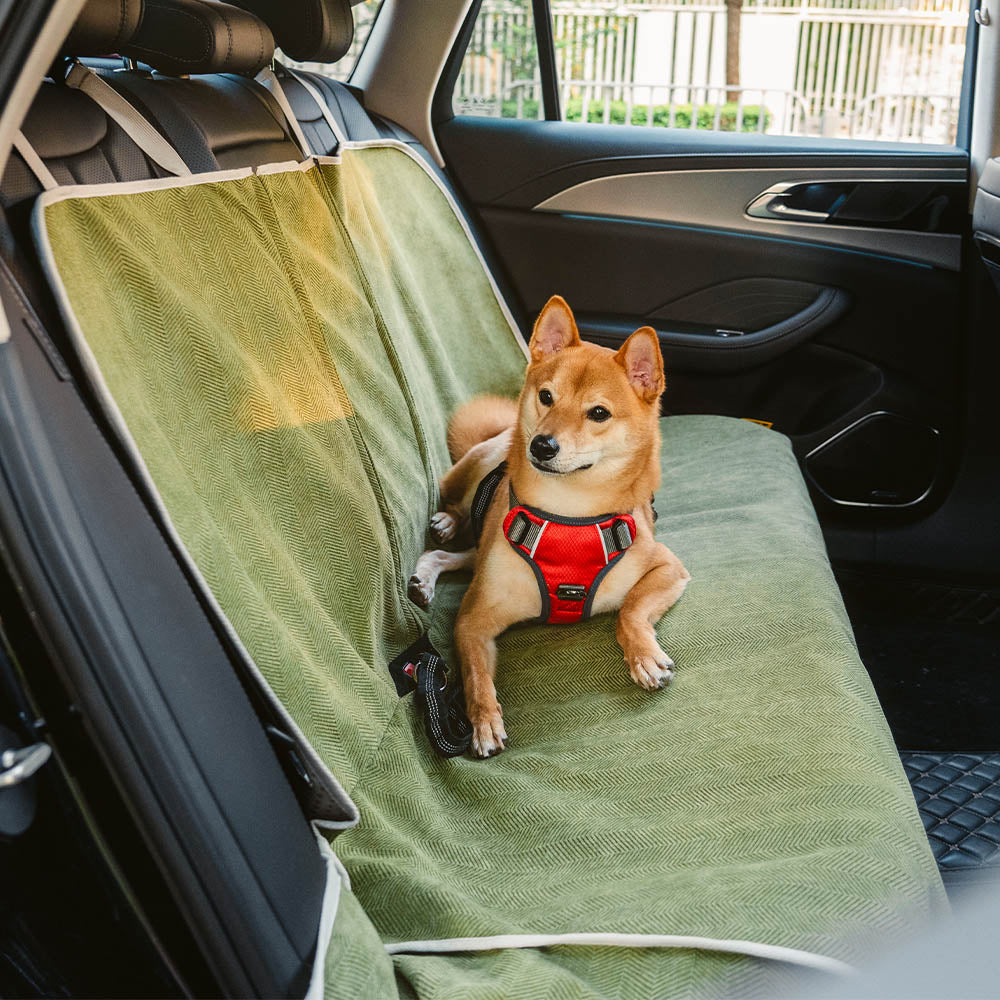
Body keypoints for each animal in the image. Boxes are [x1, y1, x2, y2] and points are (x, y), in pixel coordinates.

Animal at [406, 296, 688, 756]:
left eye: (598, 413)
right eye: (546, 397)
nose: (542, 445)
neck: (568, 513)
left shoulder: (668, 567)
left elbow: (630, 609)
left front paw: (644, 656)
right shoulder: (472, 620)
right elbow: (475, 675)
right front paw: (483, 720)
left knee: (453, 554)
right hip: (483, 466)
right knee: (455, 510)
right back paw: (445, 525)